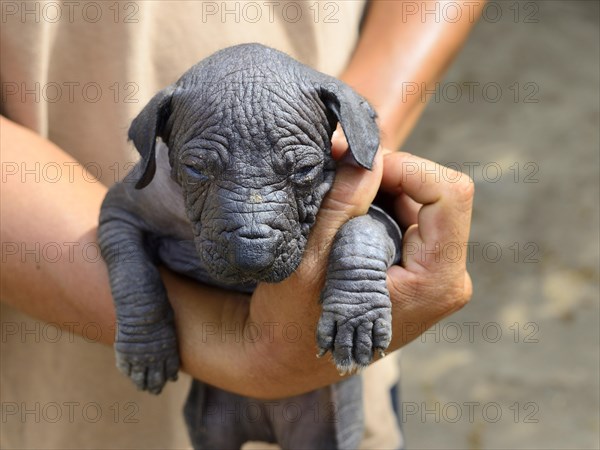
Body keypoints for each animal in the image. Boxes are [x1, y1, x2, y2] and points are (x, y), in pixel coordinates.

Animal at [99, 43, 404, 450]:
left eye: (304, 170)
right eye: (196, 169)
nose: (252, 258)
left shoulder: (389, 214)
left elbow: (362, 229)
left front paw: (357, 316)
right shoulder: (118, 213)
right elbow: (134, 272)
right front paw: (146, 351)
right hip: (210, 426)